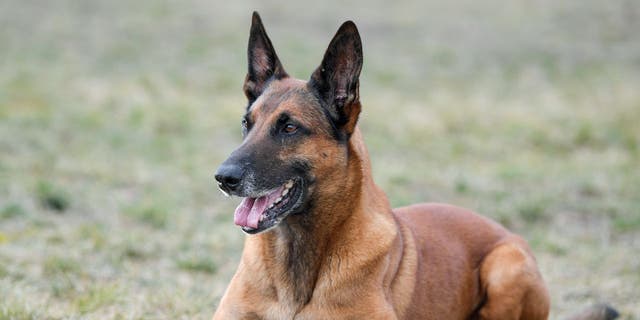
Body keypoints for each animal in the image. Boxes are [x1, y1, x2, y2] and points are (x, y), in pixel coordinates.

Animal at [212, 11, 616, 318]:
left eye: (290, 127)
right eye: (247, 123)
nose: (222, 178)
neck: (294, 260)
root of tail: (506, 231)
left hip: (507, 265)